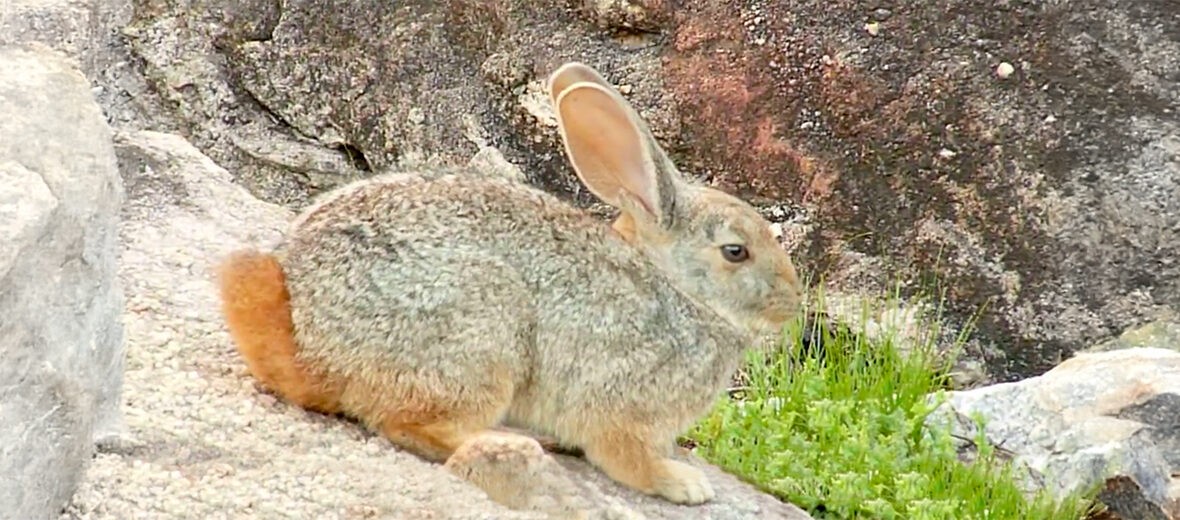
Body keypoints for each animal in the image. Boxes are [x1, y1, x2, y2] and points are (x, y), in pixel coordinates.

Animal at [217, 62, 804, 505]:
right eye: (736, 251)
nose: (792, 302)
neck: (679, 291)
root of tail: (308, 345)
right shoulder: (622, 401)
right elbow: (626, 456)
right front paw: (681, 483)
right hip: (482, 336)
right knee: (411, 425)